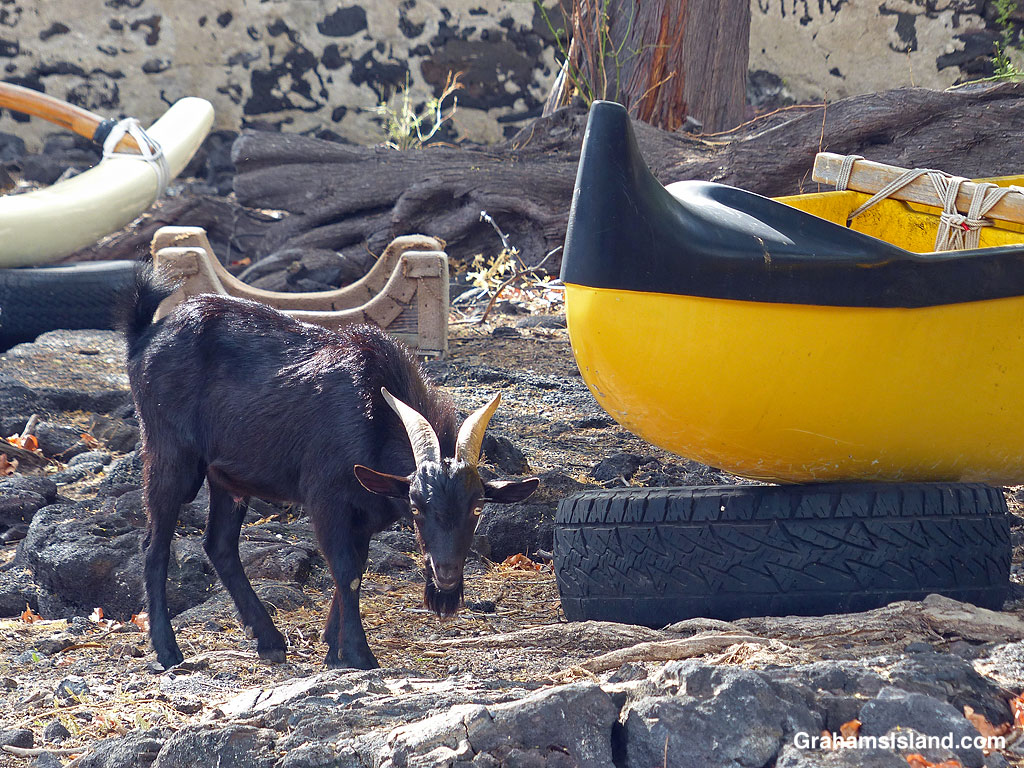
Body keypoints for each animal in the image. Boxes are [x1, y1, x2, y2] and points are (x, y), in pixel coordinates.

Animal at [121, 270, 538, 670]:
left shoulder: (363, 514)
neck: (372, 413)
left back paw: (269, 641)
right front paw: (357, 655)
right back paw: (167, 651)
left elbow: (357, 568)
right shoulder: (325, 500)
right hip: (168, 452)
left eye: (477, 507)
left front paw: (332, 648)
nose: (448, 576)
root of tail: (145, 337)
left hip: (226, 476)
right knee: (154, 546)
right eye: (417, 506)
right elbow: (346, 571)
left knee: (218, 544)